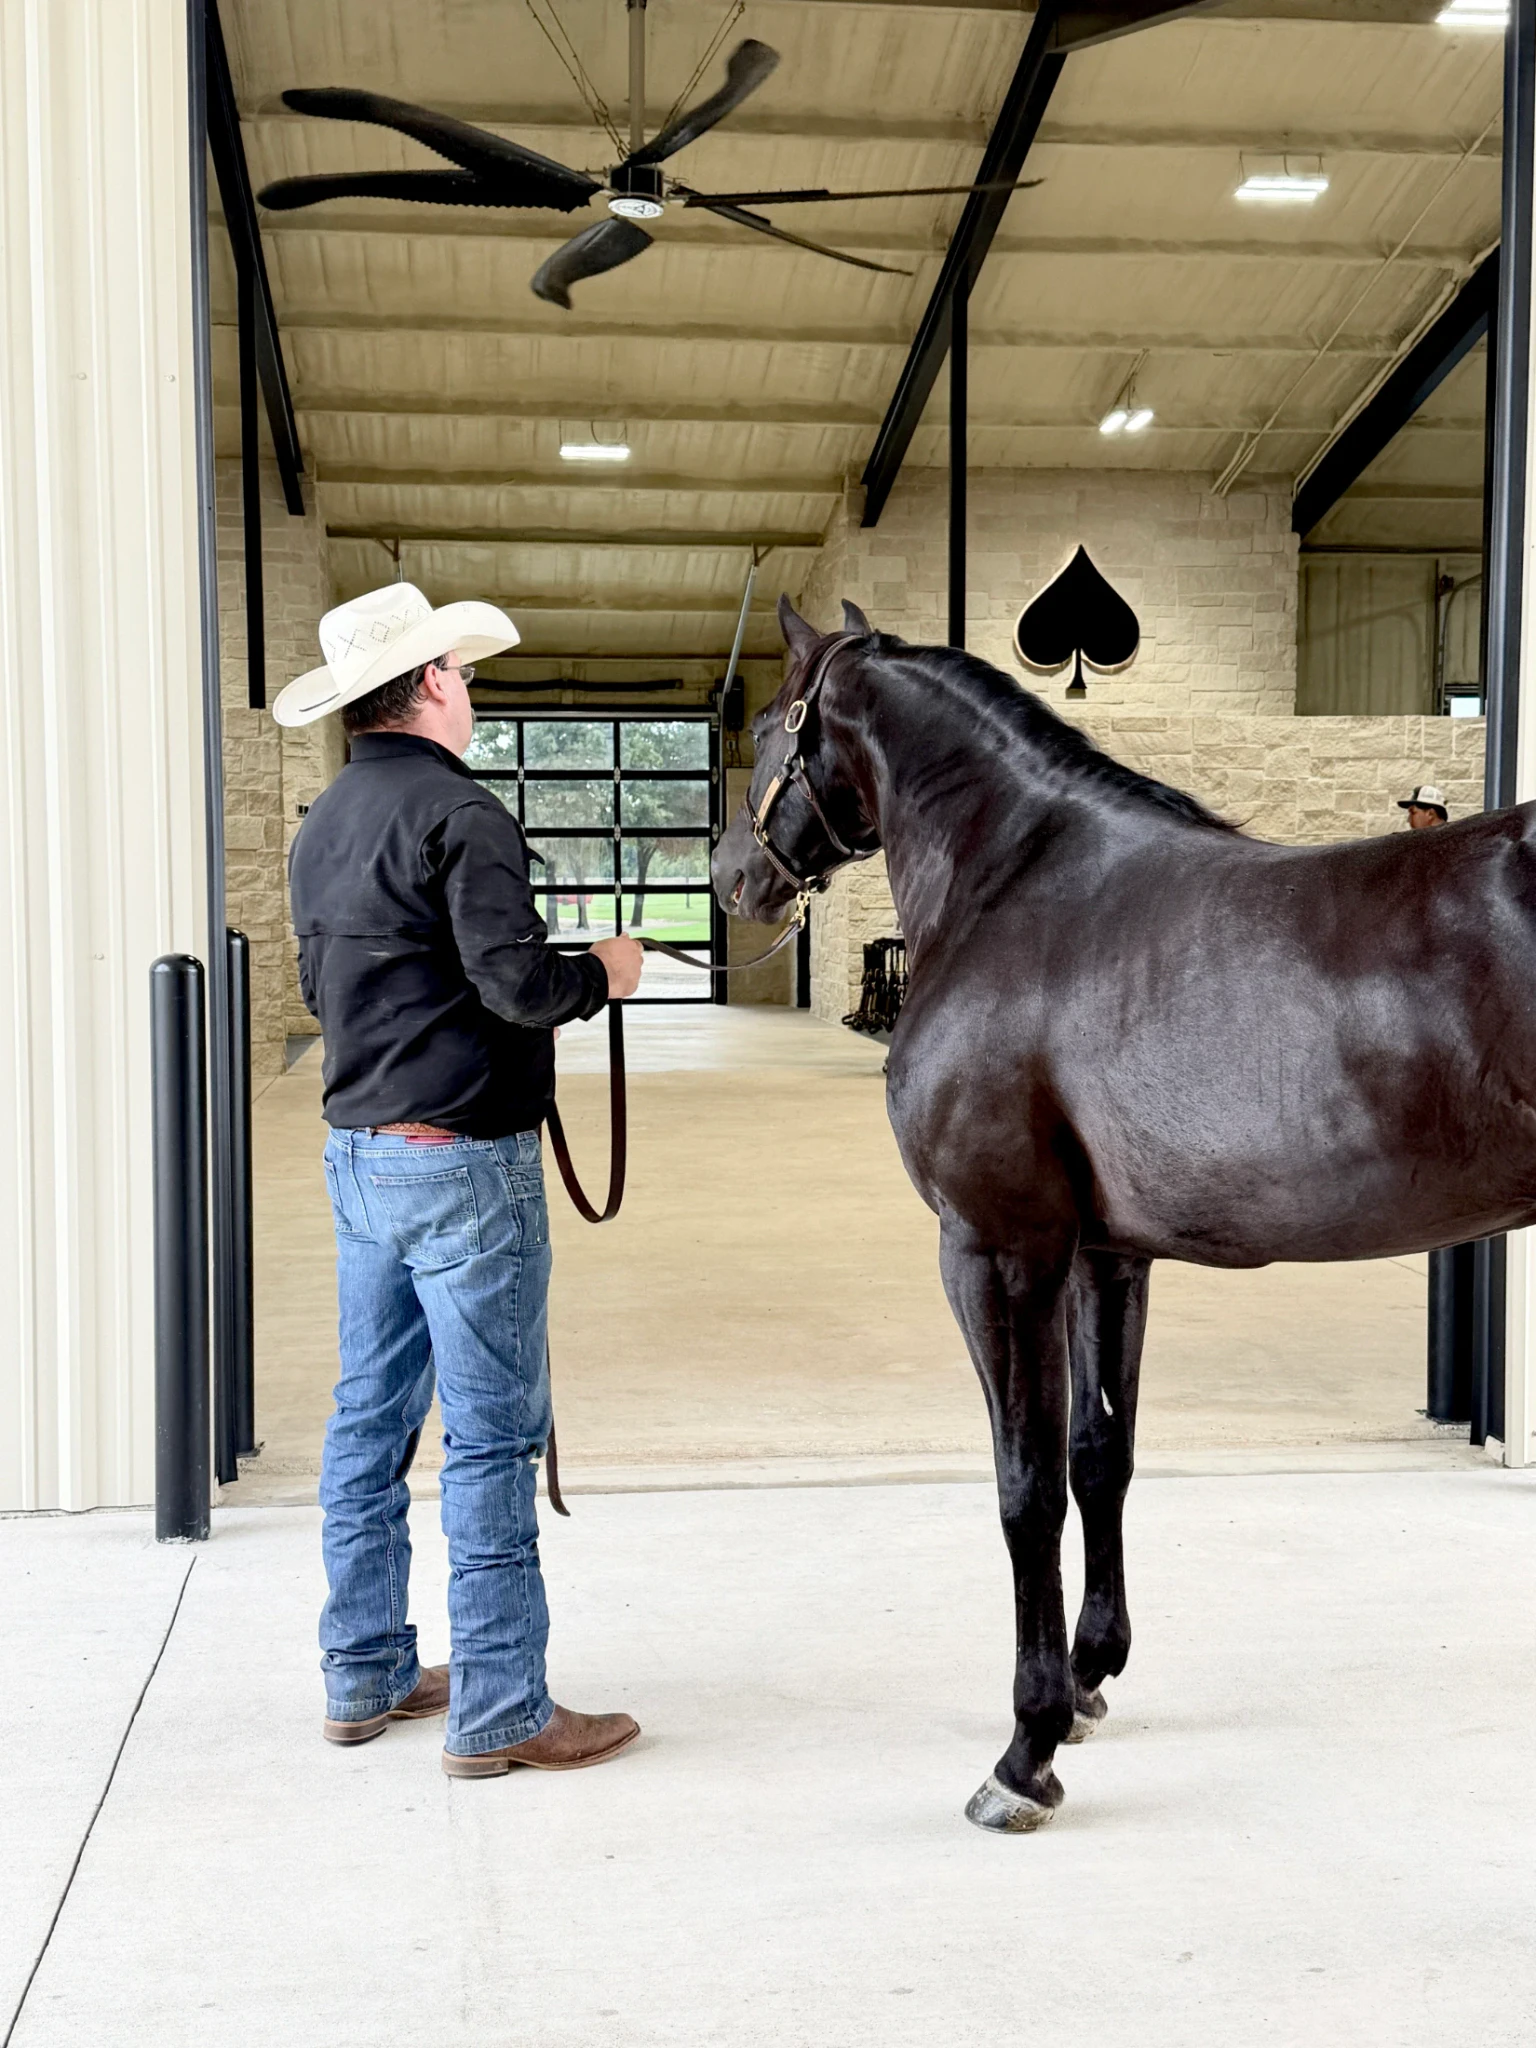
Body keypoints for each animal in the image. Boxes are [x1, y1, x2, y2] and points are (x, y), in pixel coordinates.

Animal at [712, 594, 1536, 1835]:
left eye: (769, 724)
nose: (729, 877)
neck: (1015, 884)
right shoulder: (1107, 1253)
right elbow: (1102, 1454)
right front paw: (1093, 1675)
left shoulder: (998, 1250)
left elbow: (1026, 1485)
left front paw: (1026, 1748)